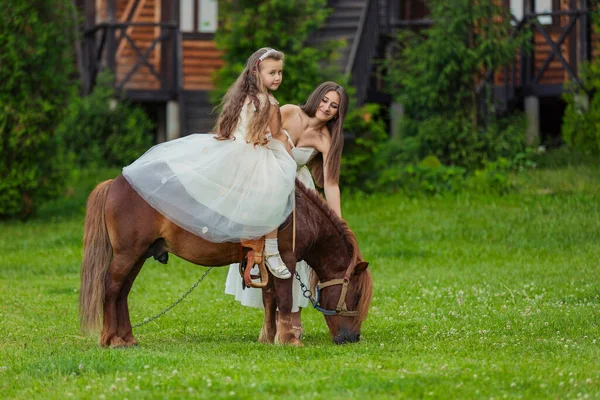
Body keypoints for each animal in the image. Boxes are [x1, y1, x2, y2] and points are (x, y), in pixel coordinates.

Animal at [78, 176, 370, 346]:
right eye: (355, 297)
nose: (352, 338)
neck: (302, 214)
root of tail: (115, 182)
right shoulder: (285, 261)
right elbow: (285, 300)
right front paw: (288, 340)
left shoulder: (265, 264)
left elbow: (270, 299)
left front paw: (270, 337)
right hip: (128, 254)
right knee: (111, 288)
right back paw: (111, 339)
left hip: (138, 255)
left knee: (122, 292)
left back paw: (127, 338)